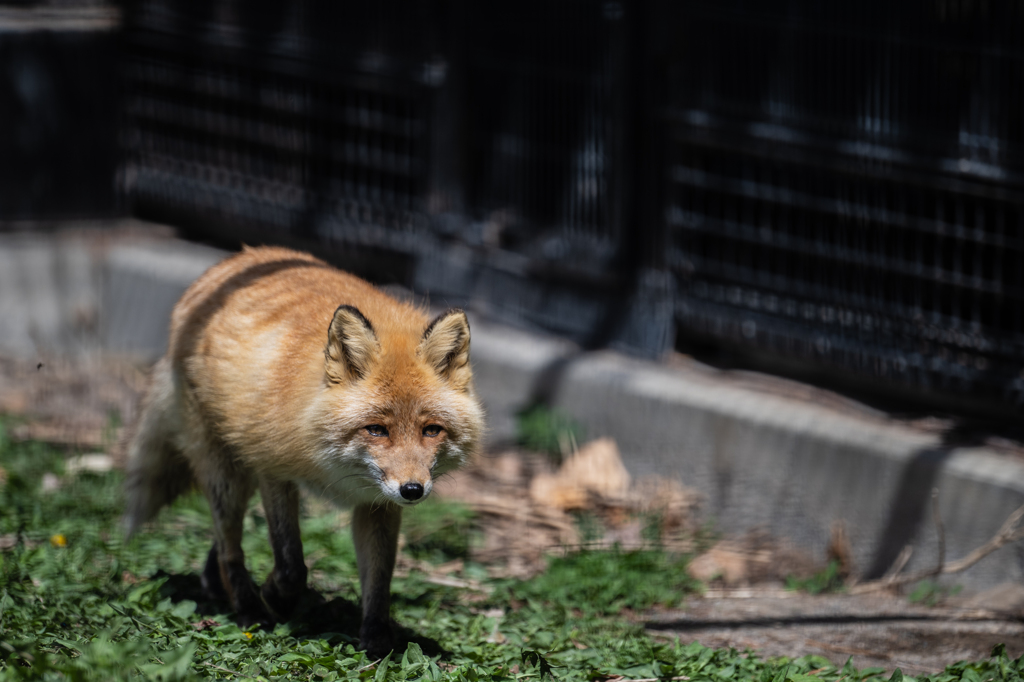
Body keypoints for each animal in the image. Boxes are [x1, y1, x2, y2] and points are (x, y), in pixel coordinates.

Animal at [123, 244, 483, 655]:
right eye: (376, 429)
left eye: (431, 430)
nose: (413, 490)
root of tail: (232, 263)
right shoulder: (274, 473)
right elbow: (291, 563)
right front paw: (276, 598)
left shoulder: (377, 505)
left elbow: (379, 581)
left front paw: (376, 644)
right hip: (227, 472)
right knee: (230, 546)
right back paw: (248, 609)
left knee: (220, 539)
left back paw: (214, 584)